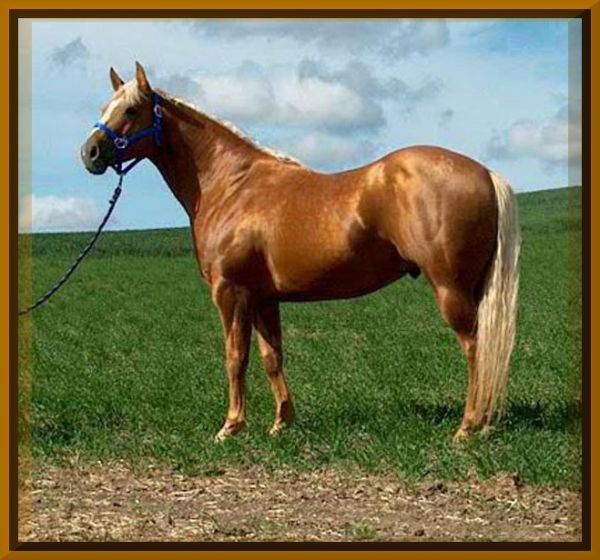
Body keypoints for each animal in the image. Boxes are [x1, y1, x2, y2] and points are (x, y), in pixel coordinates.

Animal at [81, 63, 520, 442]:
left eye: (131, 109)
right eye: (104, 108)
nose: (90, 153)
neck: (232, 186)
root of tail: (485, 173)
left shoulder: (230, 292)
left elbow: (234, 356)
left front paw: (231, 427)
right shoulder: (263, 297)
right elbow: (271, 356)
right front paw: (281, 423)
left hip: (450, 288)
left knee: (475, 347)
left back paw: (467, 427)